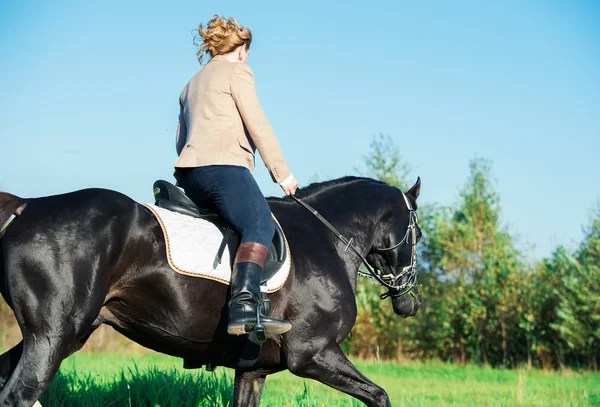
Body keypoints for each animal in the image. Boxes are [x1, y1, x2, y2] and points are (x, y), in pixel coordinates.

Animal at [0, 177, 422, 407]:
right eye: (417, 233)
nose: (409, 302)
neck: (326, 238)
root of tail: (28, 205)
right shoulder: (313, 354)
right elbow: (379, 395)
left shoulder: (253, 372)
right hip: (52, 337)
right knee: (18, 394)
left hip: (62, 335)